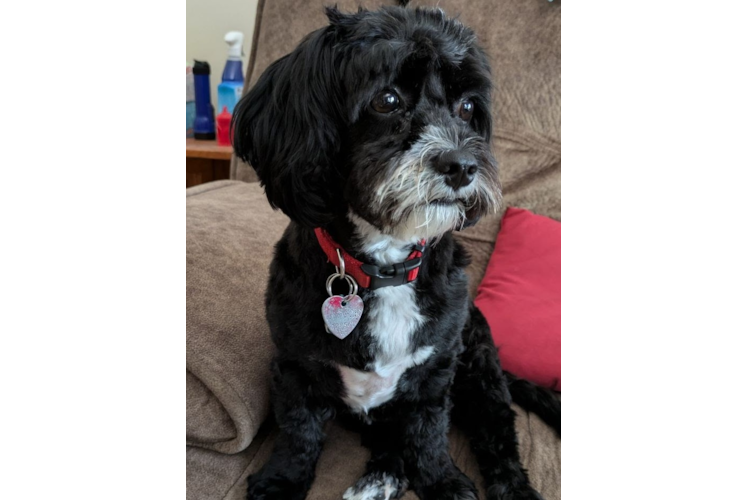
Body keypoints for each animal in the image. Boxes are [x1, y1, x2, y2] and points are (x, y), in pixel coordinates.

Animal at [232, 4, 556, 500]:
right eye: (387, 100)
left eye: (467, 108)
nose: (462, 165)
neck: (386, 266)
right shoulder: (293, 365)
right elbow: (298, 431)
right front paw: (281, 481)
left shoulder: (436, 371)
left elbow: (427, 432)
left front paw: (442, 480)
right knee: (386, 441)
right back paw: (379, 478)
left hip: (481, 371)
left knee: (497, 437)